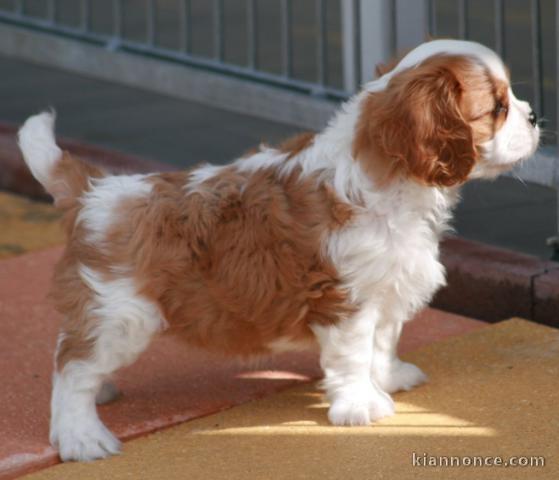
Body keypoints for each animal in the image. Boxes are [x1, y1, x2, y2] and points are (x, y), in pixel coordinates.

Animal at [19, 40, 540, 462]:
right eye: (497, 108)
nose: (535, 116)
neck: (390, 185)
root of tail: (94, 190)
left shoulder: (386, 287)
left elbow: (383, 342)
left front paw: (390, 378)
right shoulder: (343, 301)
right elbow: (354, 355)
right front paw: (362, 406)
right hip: (123, 315)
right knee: (71, 366)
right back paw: (81, 438)